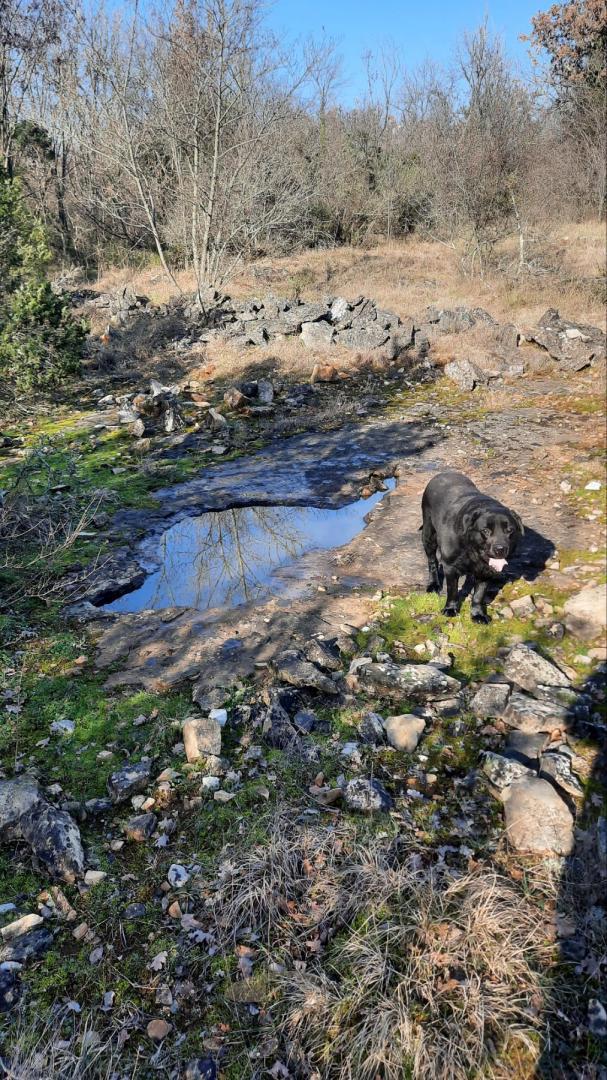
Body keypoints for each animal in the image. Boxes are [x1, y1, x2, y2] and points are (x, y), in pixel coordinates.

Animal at [421, 473, 520, 626]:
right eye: (485, 531)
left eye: (509, 530)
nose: (500, 548)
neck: (471, 550)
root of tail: (442, 473)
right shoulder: (450, 566)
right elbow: (452, 590)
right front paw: (450, 609)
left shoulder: (486, 571)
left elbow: (479, 594)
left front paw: (478, 614)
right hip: (428, 534)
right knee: (432, 560)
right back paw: (433, 584)